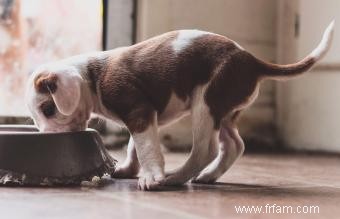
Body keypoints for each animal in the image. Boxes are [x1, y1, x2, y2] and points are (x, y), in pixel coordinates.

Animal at [25, 21, 334, 191]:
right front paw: (128, 169)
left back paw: (177, 178)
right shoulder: (146, 116)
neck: (93, 75)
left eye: (49, 110)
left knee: (205, 150)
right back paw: (209, 176)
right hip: (224, 112)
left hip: (206, 104)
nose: (45, 137)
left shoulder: (139, 112)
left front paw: (152, 176)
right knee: (234, 145)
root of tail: (251, 60)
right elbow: (134, 145)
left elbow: (146, 147)